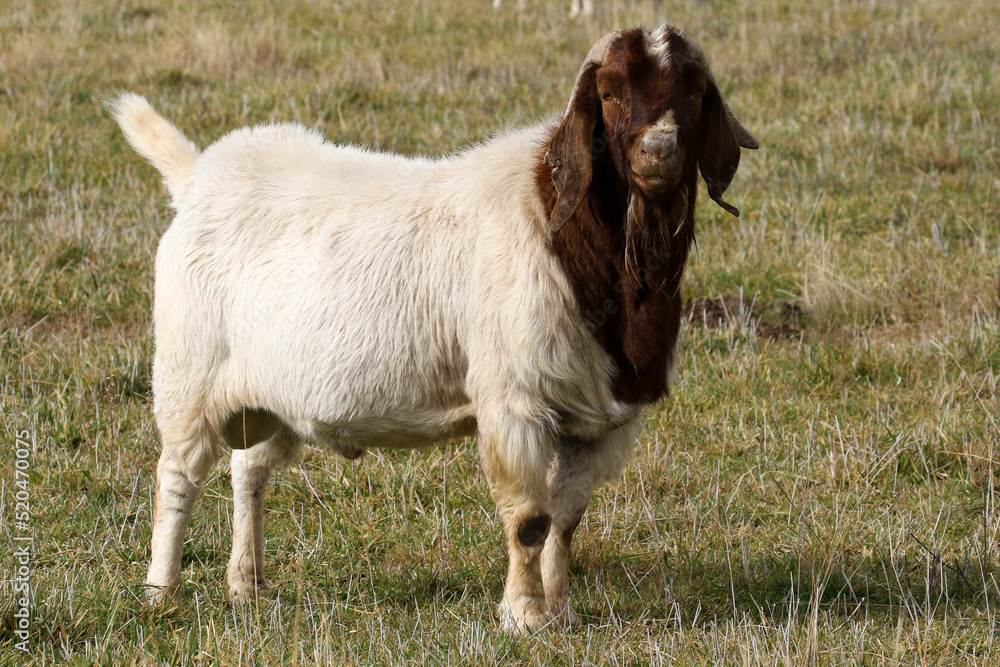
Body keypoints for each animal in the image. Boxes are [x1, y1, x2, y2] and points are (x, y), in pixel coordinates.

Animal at [109, 23, 757, 632]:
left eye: (695, 92)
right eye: (610, 93)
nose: (659, 153)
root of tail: (196, 175)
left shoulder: (600, 420)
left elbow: (566, 523)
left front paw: (562, 614)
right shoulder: (513, 400)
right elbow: (530, 521)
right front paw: (524, 617)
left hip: (275, 390)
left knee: (249, 471)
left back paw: (247, 586)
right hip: (187, 373)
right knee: (177, 477)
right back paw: (161, 592)